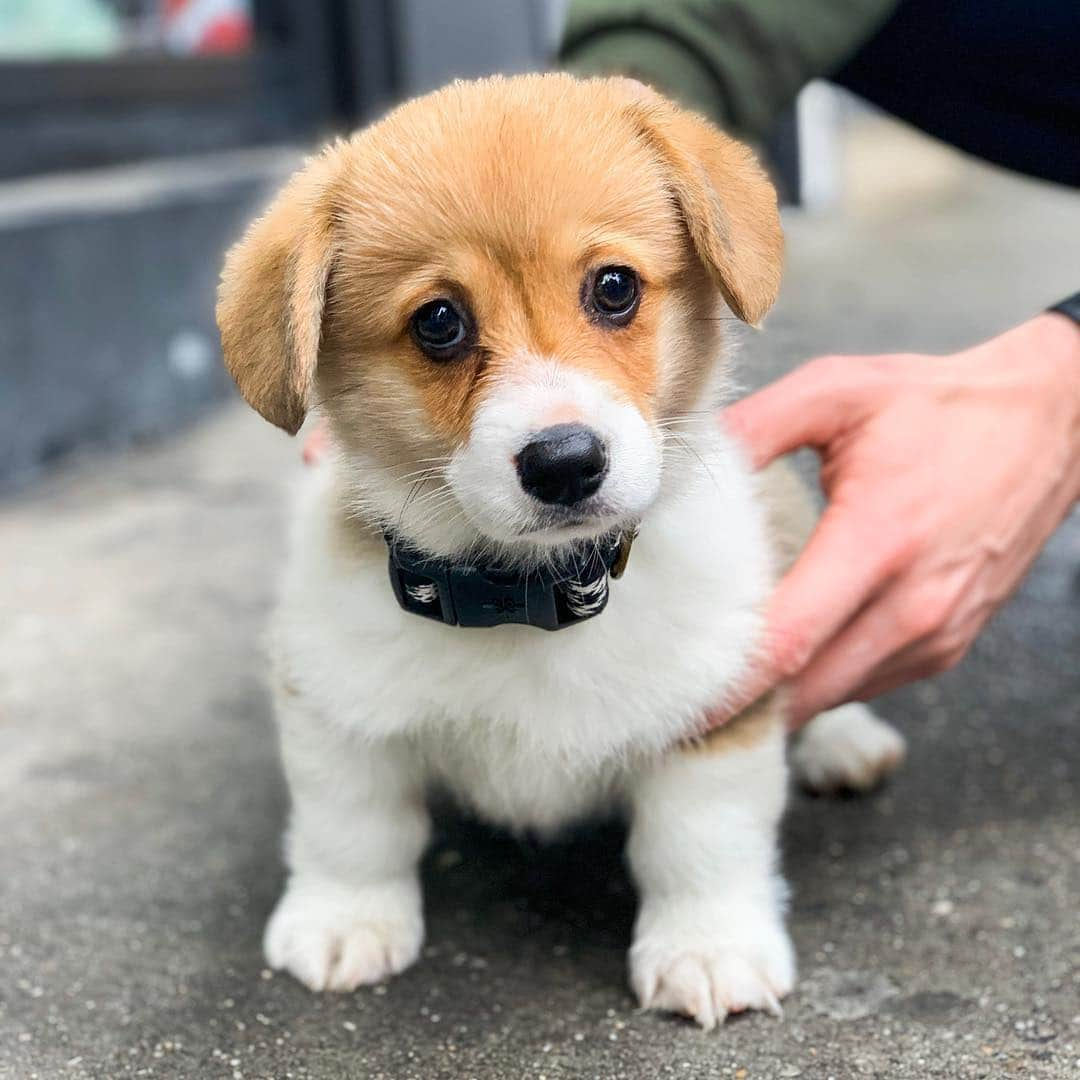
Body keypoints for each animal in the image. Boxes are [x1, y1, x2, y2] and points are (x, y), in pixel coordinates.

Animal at [217, 71, 902, 1023]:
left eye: (614, 287)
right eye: (438, 322)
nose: (566, 463)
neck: (527, 597)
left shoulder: (716, 705)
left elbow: (699, 840)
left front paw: (708, 947)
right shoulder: (333, 700)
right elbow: (349, 825)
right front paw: (342, 921)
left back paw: (845, 740)